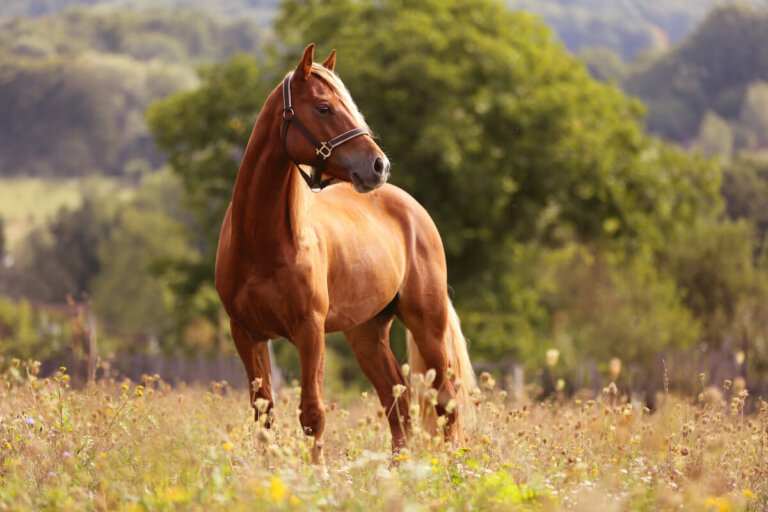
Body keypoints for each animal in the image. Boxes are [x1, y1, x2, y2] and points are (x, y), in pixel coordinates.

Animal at [215, 44, 476, 466]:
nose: (379, 165)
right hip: (367, 333)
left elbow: (312, 413)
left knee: (445, 402)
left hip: (428, 324)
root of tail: (411, 207)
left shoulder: (309, 330)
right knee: (397, 403)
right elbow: (264, 415)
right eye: (323, 107)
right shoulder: (246, 334)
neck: (261, 243)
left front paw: (317, 475)